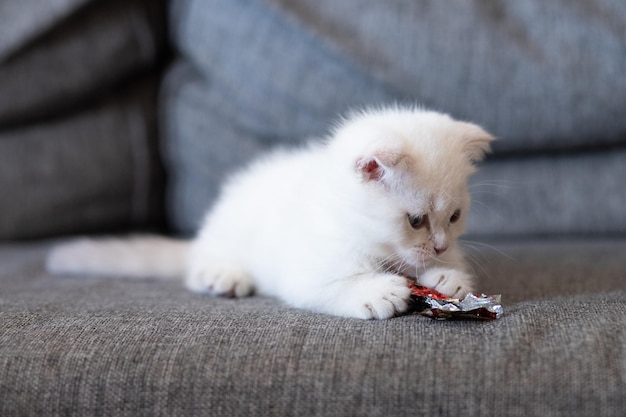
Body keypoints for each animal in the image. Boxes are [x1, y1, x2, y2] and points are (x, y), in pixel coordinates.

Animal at [47, 106, 492, 318]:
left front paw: (448, 277)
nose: (439, 246)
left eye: (454, 218)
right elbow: (331, 285)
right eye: (415, 220)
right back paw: (221, 275)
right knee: (199, 264)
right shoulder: (306, 268)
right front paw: (377, 291)